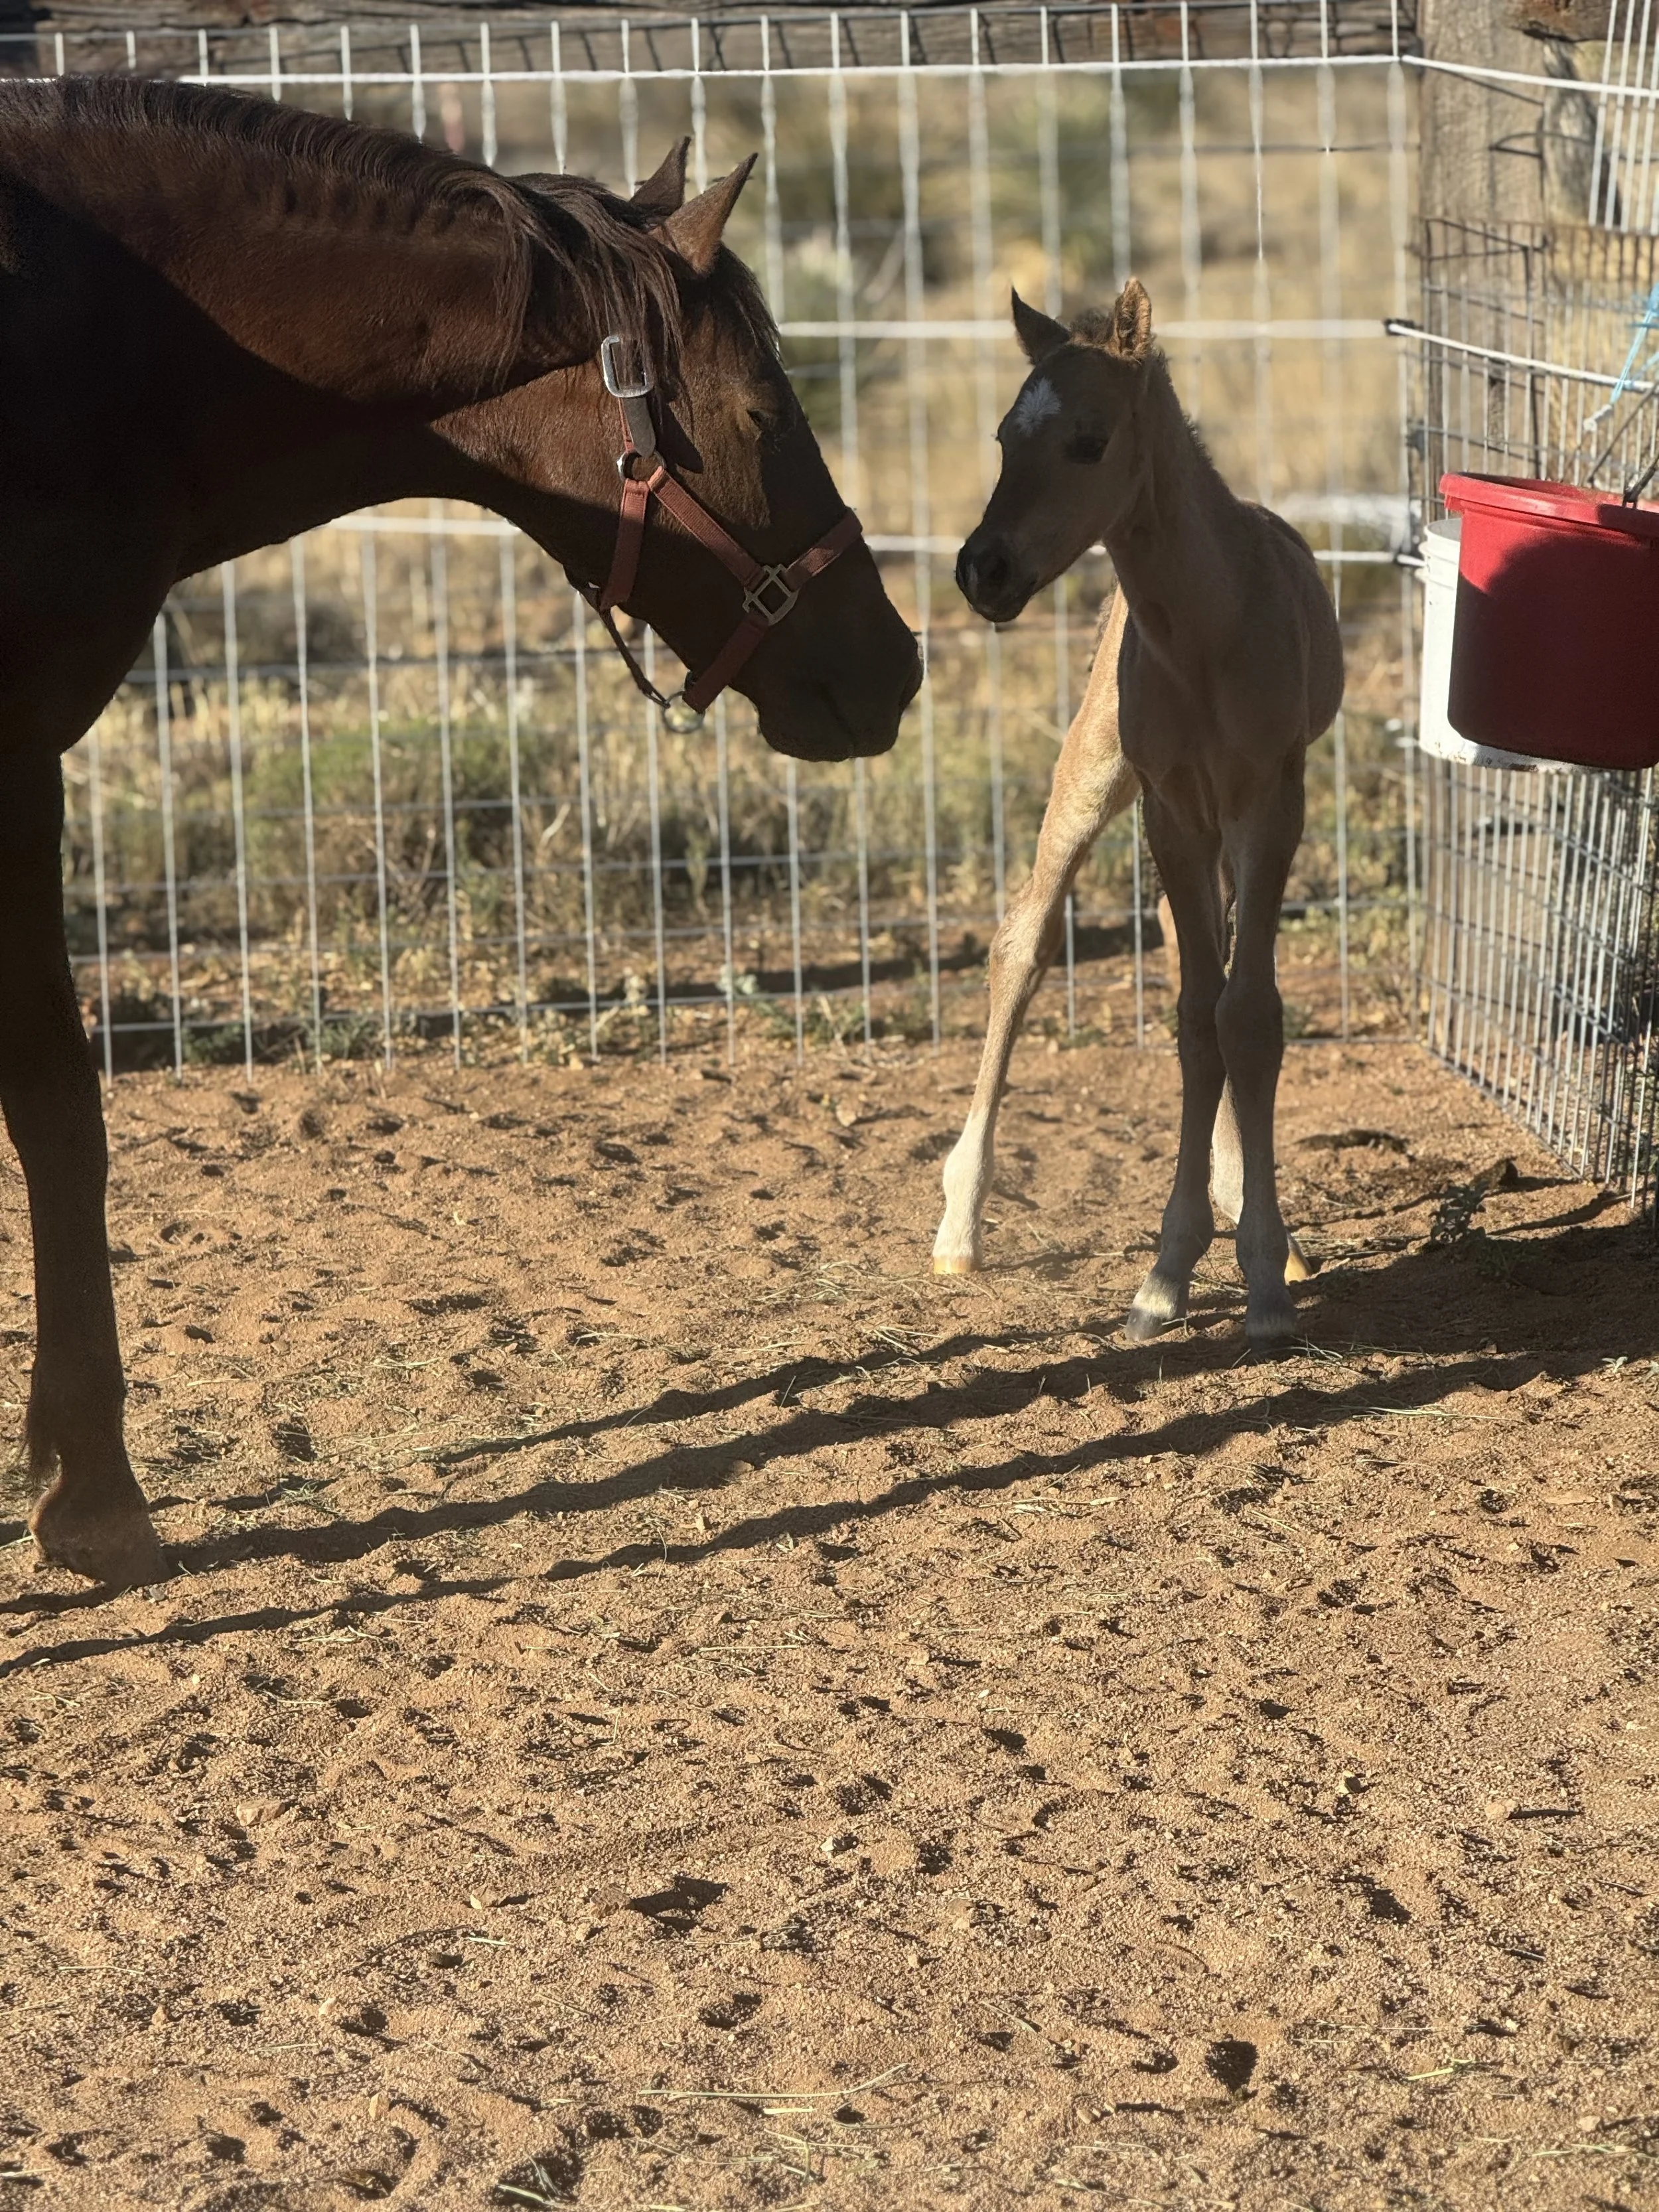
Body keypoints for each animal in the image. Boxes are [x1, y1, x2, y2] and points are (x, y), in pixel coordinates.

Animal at [0, 76, 921, 1590]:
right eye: (759, 409)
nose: (894, 666)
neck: (101, 326)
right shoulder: (17, 765)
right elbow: (61, 1114)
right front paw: (94, 1487)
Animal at [937, 280, 1342, 1347]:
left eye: (1088, 440)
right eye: (1003, 435)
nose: (981, 570)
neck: (1204, 634)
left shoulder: (1268, 803)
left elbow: (1246, 1016)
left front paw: (1262, 1272)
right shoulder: (1168, 806)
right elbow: (1198, 1019)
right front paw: (1167, 1274)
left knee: (1208, 964)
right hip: (1093, 774)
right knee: (1024, 941)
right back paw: (960, 1223)